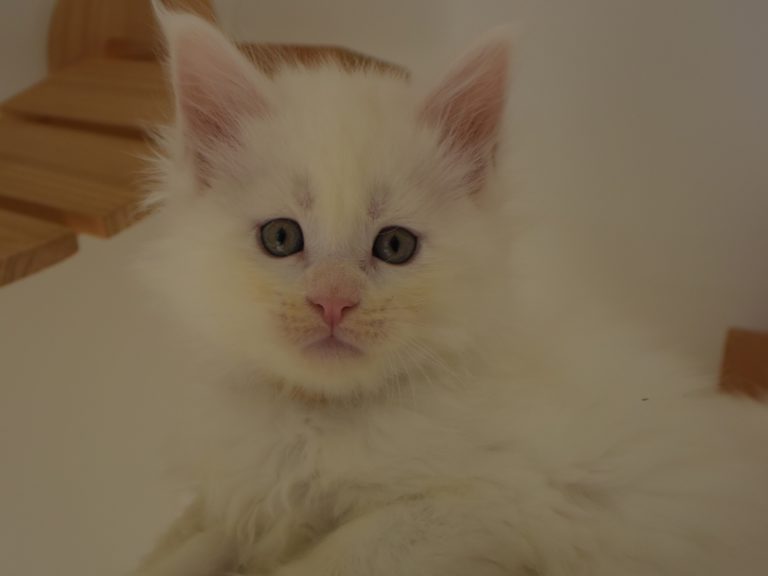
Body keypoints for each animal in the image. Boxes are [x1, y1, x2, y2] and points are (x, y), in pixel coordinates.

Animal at [135, 7, 768, 576]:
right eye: (281, 237)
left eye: (394, 246)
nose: (333, 302)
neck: (322, 423)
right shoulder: (248, 494)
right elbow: (200, 541)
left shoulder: (493, 503)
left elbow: (331, 558)